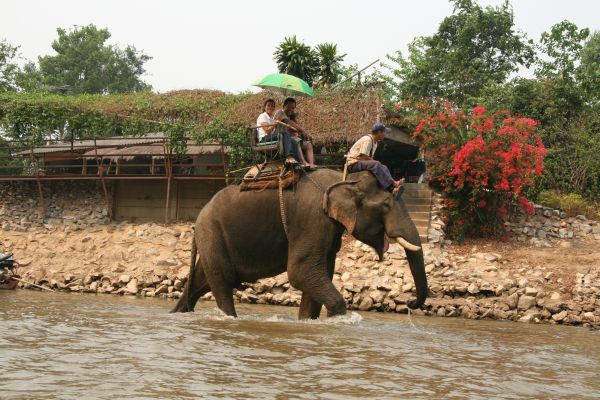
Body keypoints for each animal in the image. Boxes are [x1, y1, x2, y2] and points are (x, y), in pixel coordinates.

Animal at [171, 169, 428, 318]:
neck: (345, 178)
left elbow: (320, 272)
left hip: (212, 240)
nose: (411, 303)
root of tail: (196, 222)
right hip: (212, 234)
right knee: (221, 283)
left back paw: (178, 314)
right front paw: (337, 317)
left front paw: (307, 322)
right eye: (386, 205)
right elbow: (301, 272)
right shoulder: (312, 219)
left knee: (201, 283)